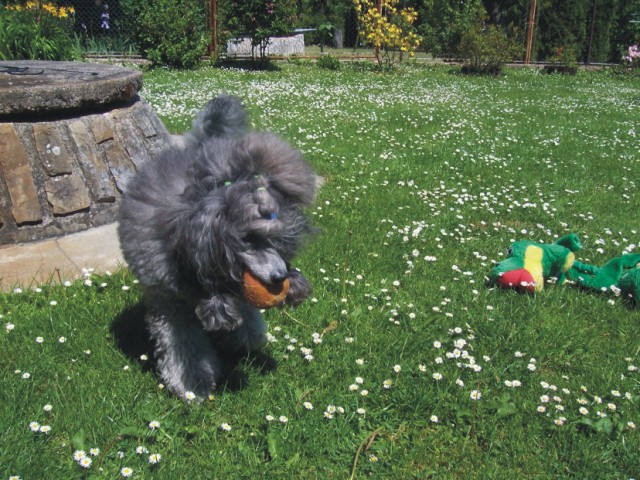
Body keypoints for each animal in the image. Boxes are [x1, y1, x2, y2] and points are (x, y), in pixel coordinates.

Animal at [119, 95, 318, 400]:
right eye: (249, 238)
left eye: (278, 240)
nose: (281, 277)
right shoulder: (169, 299)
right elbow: (182, 343)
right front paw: (193, 385)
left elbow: (246, 324)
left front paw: (241, 334)